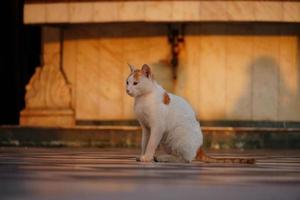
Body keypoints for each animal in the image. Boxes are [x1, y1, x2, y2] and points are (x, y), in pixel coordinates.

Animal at [125, 63, 254, 164]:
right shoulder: (146, 128)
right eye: (127, 82)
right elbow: (144, 143)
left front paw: (147, 157)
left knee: (186, 159)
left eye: (135, 83)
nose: (127, 90)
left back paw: (164, 158)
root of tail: (199, 149)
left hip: (177, 134)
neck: (142, 99)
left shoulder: (157, 127)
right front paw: (142, 155)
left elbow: (151, 144)